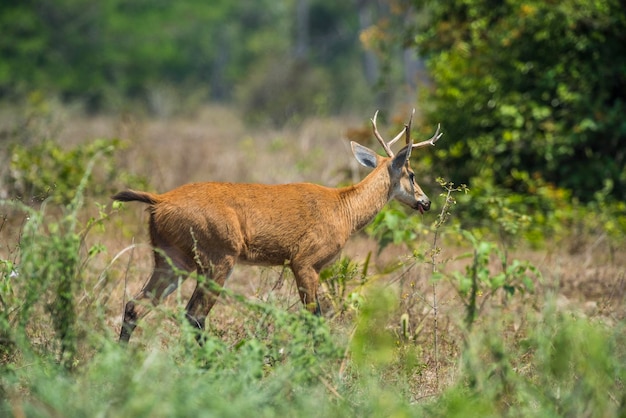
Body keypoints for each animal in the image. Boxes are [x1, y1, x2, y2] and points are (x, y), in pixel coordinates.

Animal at [114, 111, 442, 342]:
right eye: (412, 173)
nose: (426, 202)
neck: (344, 210)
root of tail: (158, 201)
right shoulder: (305, 261)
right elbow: (314, 318)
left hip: (172, 259)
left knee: (135, 306)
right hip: (217, 257)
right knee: (193, 315)